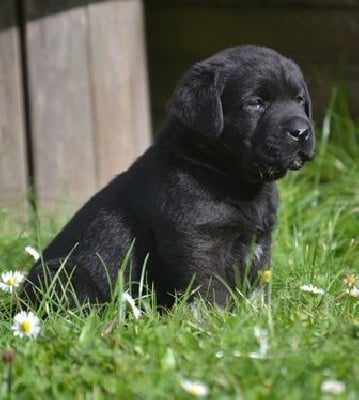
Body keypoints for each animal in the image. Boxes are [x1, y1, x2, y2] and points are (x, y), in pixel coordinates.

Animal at [21, 45, 316, 308]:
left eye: (299, 99)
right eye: (256, 103)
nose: (302, 131)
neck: (231, 177)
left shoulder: (260, 238)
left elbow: (257, 287)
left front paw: (257, 315)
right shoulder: (196, 239)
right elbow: (210, 289)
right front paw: (216, 322)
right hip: (62, 274)